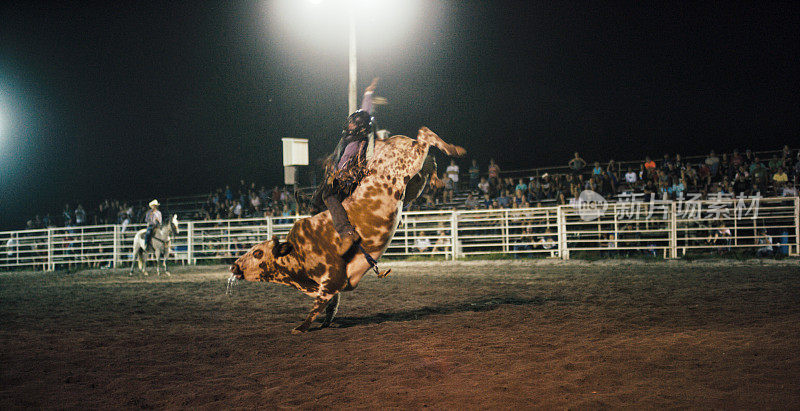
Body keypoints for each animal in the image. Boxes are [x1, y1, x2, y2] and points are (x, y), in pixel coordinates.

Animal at [228, 127, 466, 334]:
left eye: (258, 252)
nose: (234, 266)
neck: (297, 253)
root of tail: (385, 141)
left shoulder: (330, 280)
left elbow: (317, 307)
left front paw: (300, 327)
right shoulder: (330, 288)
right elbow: (331, 307)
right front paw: (326, 323)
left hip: (408, 161)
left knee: (425, 135)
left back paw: (454, 149)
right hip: (412, 181)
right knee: (428, 159)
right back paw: (438, 179)